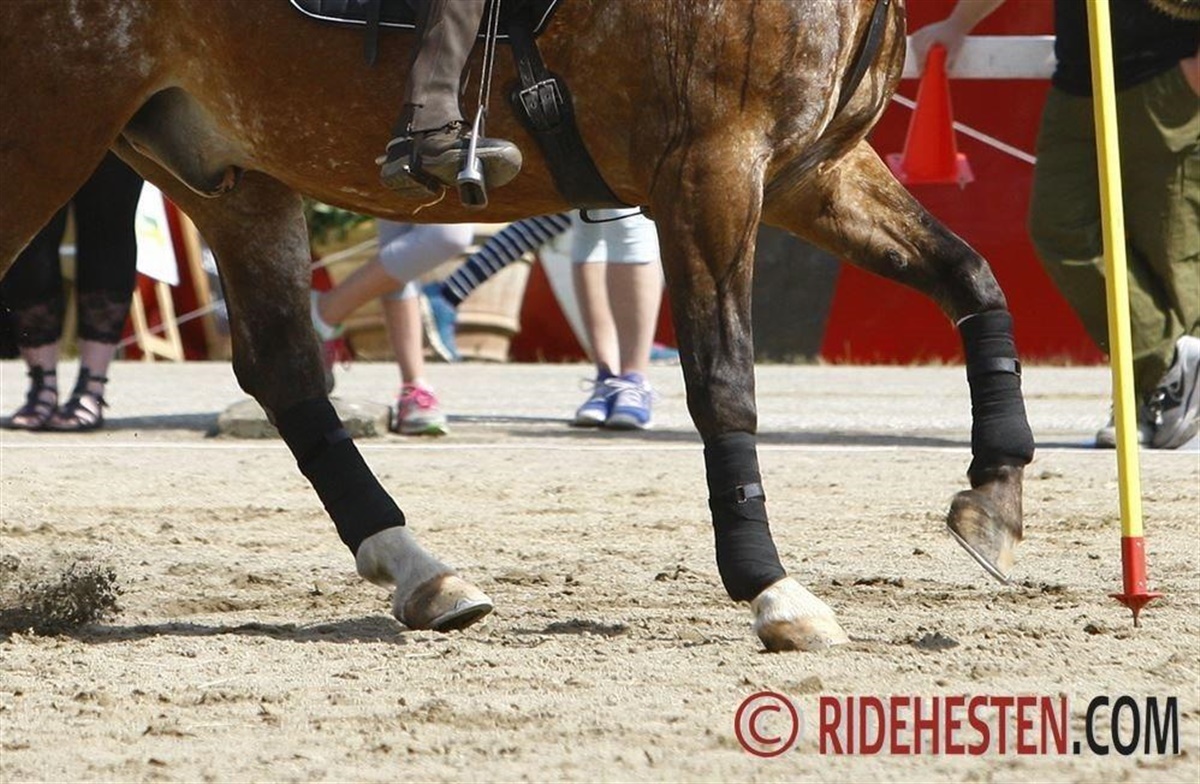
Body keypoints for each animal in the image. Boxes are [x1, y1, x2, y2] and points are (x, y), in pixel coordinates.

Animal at [0, 0, 1034, 651]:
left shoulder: (807, 174)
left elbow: (973, 278)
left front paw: (995, 493)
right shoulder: (710, 166)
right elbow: (724, 381)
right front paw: (769, 589)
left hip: (227, 168)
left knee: (285, 369)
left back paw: (423, 572)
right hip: (47, 129)